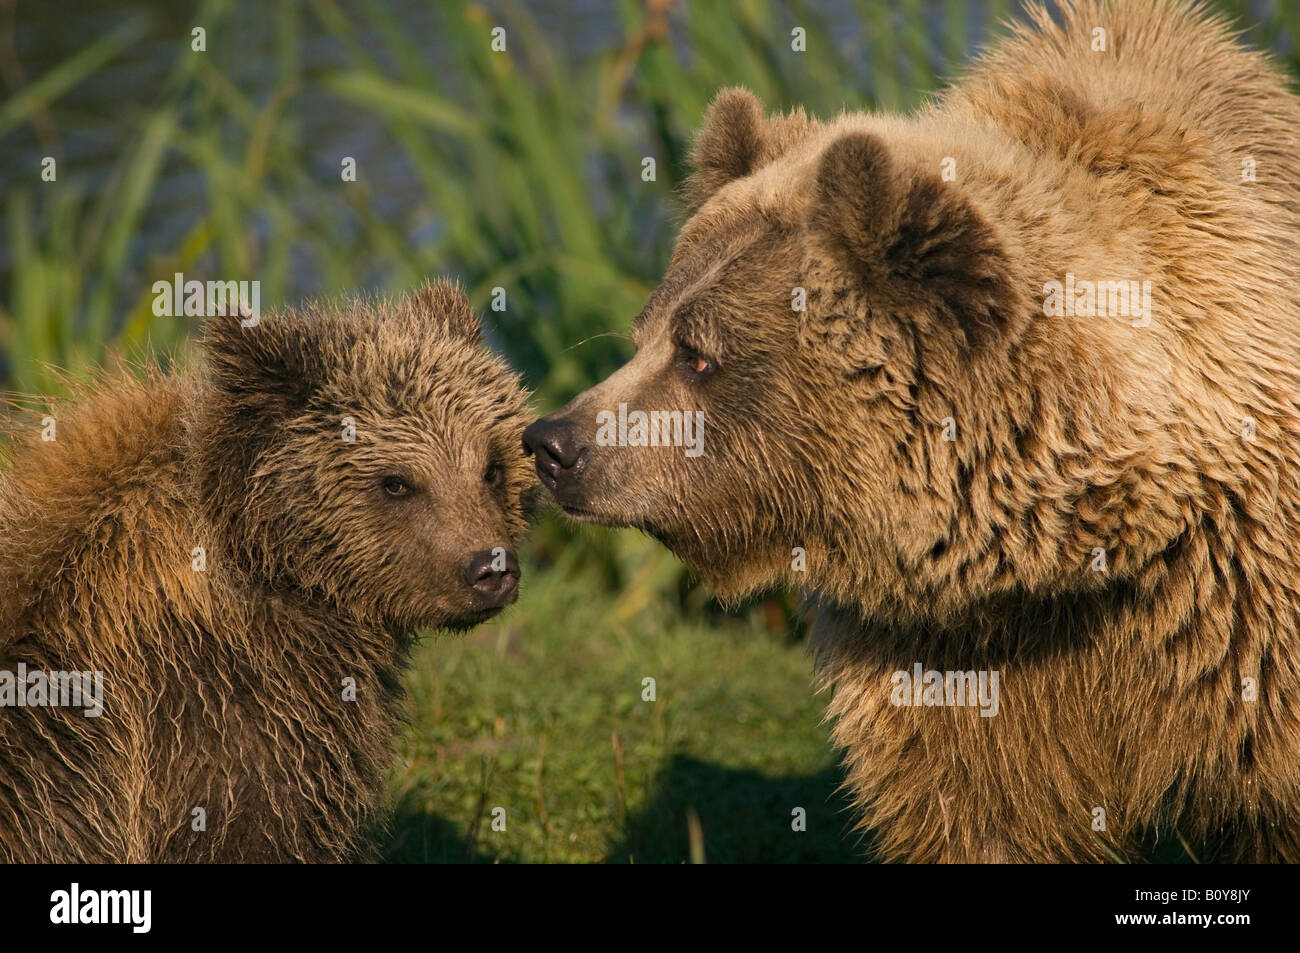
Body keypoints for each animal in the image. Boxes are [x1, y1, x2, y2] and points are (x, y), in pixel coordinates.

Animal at [523, 0, 1300, 862]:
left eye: (697, 354)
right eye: (643, 333)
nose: (554, 442)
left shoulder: (1242, 622)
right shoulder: (946, 658)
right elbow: (976, 813)